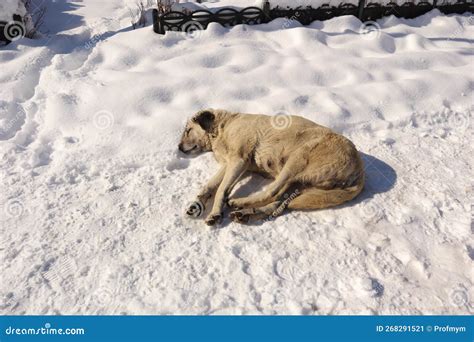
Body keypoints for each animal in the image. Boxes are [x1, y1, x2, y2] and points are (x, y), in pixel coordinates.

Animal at [180, 108, 364, 226]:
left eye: (188, 131)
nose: (179, 148)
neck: (223, 127)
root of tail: (360, 171)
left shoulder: (238, 160)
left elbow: (220, 189)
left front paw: (215, 213)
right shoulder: (231, 164)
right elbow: (210, 186)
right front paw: (197, 204)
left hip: (296, 160)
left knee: (273, 192)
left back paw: (239, 203)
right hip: (303, 185)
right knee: (280, 203)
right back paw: (247, 214)